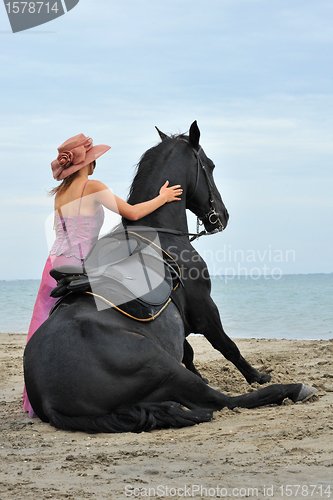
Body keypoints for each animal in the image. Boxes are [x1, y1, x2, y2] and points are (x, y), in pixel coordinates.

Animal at [24, 122, 316, 434]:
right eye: (210, 165)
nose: (223, 216)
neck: (162, 233)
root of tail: (51, 400)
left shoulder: (182, 319)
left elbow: (188, 351)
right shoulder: (204, 308)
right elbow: (228, 347)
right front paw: (258, 376)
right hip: (162, 366)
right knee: (223, 401)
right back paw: (294, 389)